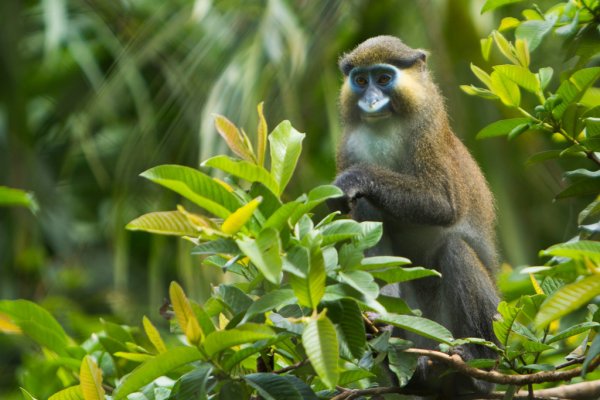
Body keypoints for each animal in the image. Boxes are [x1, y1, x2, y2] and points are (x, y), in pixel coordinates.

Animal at [330, 35, 500, 396]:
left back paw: (478, 369)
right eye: (360, 81)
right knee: (368, 208)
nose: (371, 101)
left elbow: (444, 205)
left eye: (383, 78)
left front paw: (353, 180)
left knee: (455, 249)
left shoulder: (428, 133)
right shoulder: (347, 146)